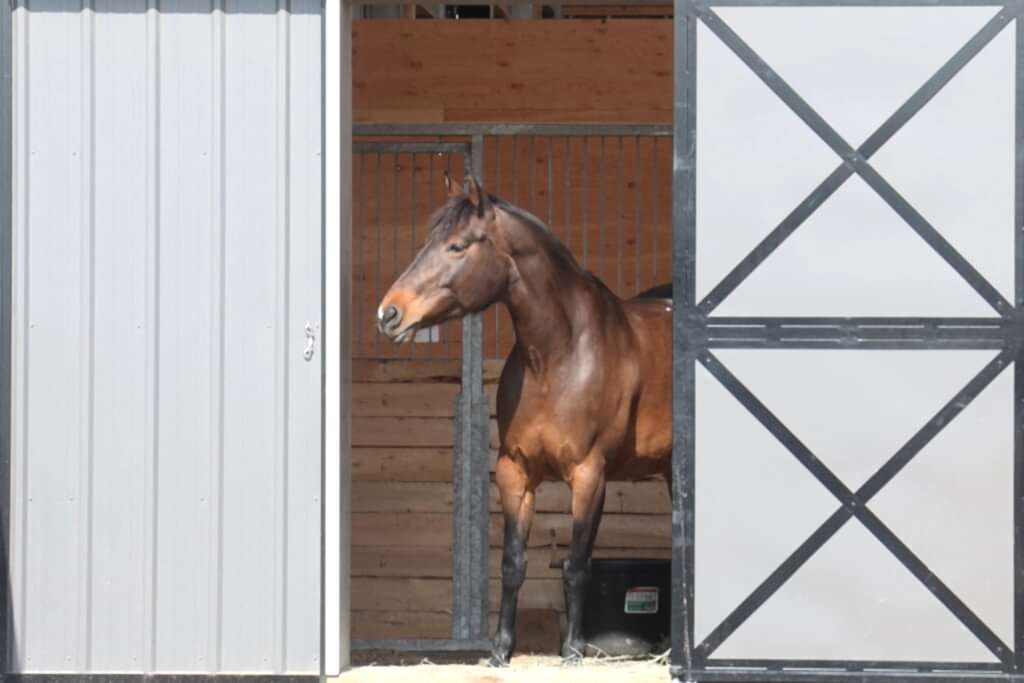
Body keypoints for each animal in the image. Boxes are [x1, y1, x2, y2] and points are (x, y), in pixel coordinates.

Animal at [376, 174, 673, 665]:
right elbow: (513, 562)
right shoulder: (514, 471)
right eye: (426, 243)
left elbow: (576, 562)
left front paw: (573, 650)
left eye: (457, 246)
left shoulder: (589, 474)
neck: (557, 357)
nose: (388, 313)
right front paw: (500, 649)